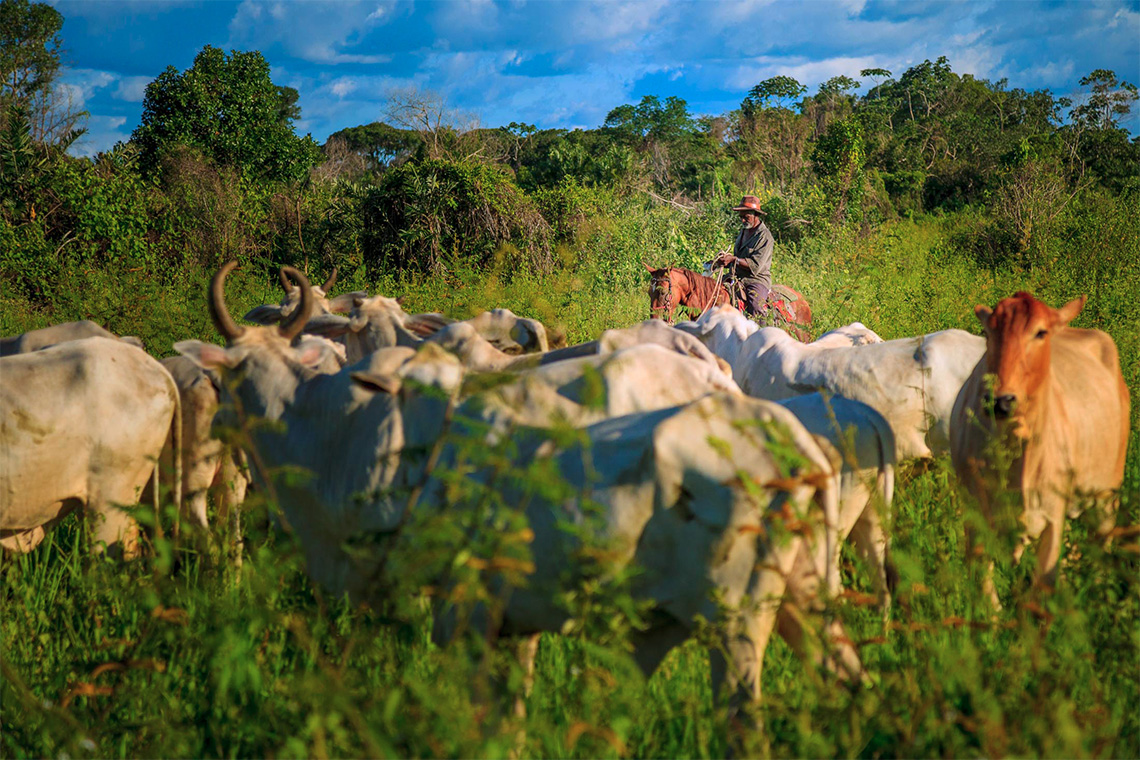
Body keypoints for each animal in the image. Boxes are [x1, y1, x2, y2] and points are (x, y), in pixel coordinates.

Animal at [953, 291, 1130, 606]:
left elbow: (1041, 589)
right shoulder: (974, 513)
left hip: (1107, 495)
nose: (1001, 401)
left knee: (1101, 547)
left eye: (1040, 332)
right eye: (988, 332)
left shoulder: (1052, 517)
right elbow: (985, 593)